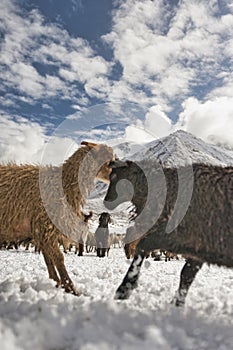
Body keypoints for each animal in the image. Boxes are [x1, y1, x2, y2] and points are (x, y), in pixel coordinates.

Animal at [0, 141, 114, 294]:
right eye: (109, 160)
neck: (63, 183)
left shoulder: (44, 230)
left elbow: (49, 258)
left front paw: (56, 282)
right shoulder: (45, 225)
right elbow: (58, 258)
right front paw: (70, 287)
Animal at [104, 159, 233, 306]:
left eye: (115, 177)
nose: (106, 201)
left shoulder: (178, 236)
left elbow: (143, 246)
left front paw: (125, 288)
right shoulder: (199, 244)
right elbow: (186, 275)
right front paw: (178, 303)